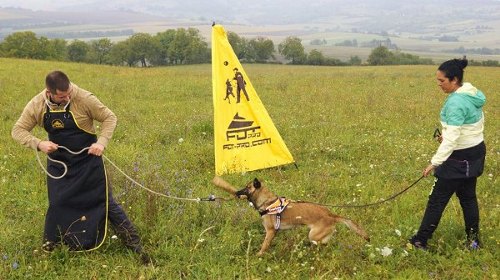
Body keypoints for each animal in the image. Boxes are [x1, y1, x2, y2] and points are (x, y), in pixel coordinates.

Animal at [235, 178, 372, 255]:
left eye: (247, 187)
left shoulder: (270, 231)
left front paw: (259, 255)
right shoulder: (273, 232)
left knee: (321, 243)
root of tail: (331, 214)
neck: (268, 203)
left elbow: (264, 245)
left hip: (313, 235)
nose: (236, 192)